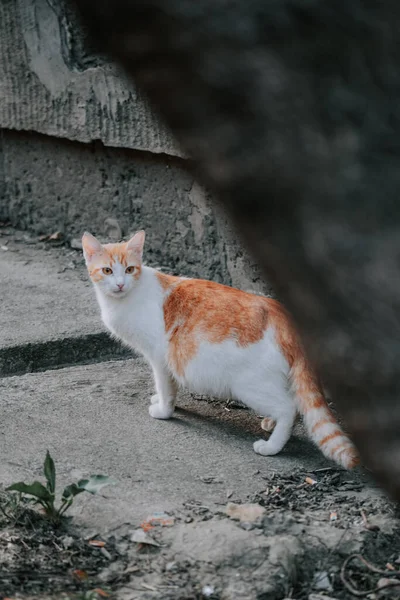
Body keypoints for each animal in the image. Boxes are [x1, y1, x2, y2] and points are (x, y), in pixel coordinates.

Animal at [82, 230, 360, 468]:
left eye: (129, 269)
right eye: (107, 270)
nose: (120, 284)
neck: (124, 299)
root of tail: (282, 314)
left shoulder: (160, 358)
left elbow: (166, 386)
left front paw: (163, 410)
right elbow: (169, 387)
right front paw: (160, 400)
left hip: (249, 385)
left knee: (289, 408)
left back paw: (272, 446)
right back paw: (270, 422)